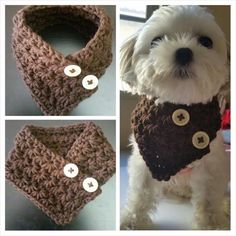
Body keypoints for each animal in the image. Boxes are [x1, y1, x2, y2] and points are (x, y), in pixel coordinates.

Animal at [121, 5, 230, 230]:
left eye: (206, 41)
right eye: (156, 40)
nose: (183, 52)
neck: (180, 103)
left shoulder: (213, 167)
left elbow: (208, 199)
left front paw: (211, 224)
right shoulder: (145, 160)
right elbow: (140, 193)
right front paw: (132, 220)